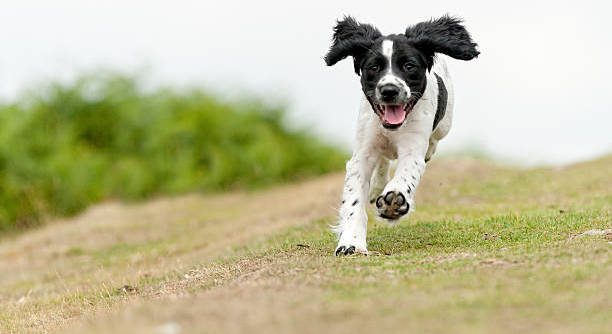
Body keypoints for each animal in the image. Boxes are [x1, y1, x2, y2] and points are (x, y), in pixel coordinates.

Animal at [322, 15, 480, 256]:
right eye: (373, 67)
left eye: (409, 66)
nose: (389, 90)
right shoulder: (363, 153)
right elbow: (353, 201)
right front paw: (351, 243)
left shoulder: (413, 150)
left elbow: (406, 175)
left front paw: (394, 201)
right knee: (383, 160)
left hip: (444, 125)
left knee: (432, 143)